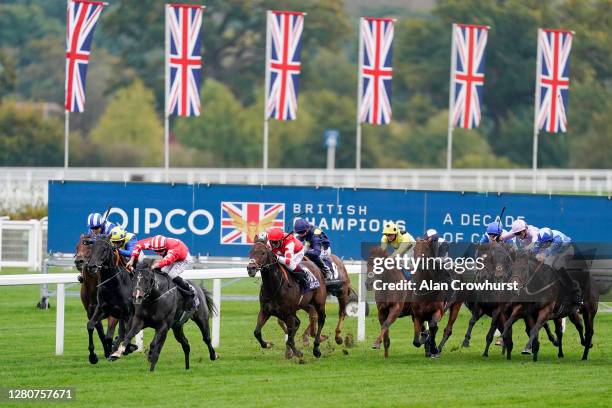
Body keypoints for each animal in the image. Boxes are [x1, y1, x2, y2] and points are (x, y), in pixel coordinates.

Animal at [74, 234, 117, 362]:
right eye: (77, 246)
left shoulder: (113, 312)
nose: (79, 261)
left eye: (89, 246)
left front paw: (110, 352)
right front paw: (96, 355)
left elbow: (108, 335)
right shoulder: (91, 312)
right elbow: (99, 331)